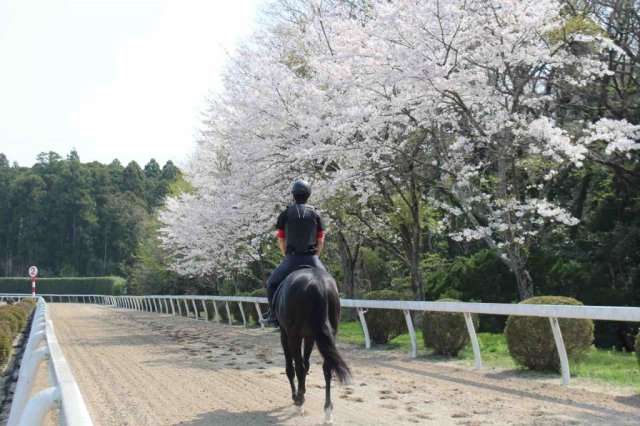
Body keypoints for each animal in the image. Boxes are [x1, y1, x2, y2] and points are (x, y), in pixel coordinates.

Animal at [272, 266, 350, 422]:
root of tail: (318, 283)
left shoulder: (285, 334)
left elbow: (291, 368)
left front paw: (297, 397)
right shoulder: (310, 336)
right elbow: (306, 364)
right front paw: (302, 392)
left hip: (293, 337)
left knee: (298, 367)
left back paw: (299, 402)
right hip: (328, 334)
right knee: (327, 368)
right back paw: (327, 411)